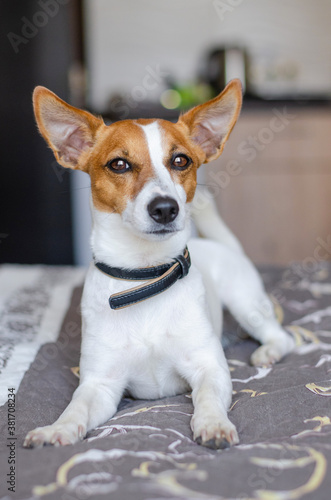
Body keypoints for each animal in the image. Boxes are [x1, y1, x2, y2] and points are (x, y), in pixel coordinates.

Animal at [23, 81, 294, 450]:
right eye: (119, 164)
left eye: (181, 160)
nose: (165, 208)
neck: (144, 279)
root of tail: (223, 246)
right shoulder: (100, 385)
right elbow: (75, 408)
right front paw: (56, 430)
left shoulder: (209, 368)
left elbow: (207, 397)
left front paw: (213, 424)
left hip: (247, 304)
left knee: (280, 336)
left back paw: (267, 352)